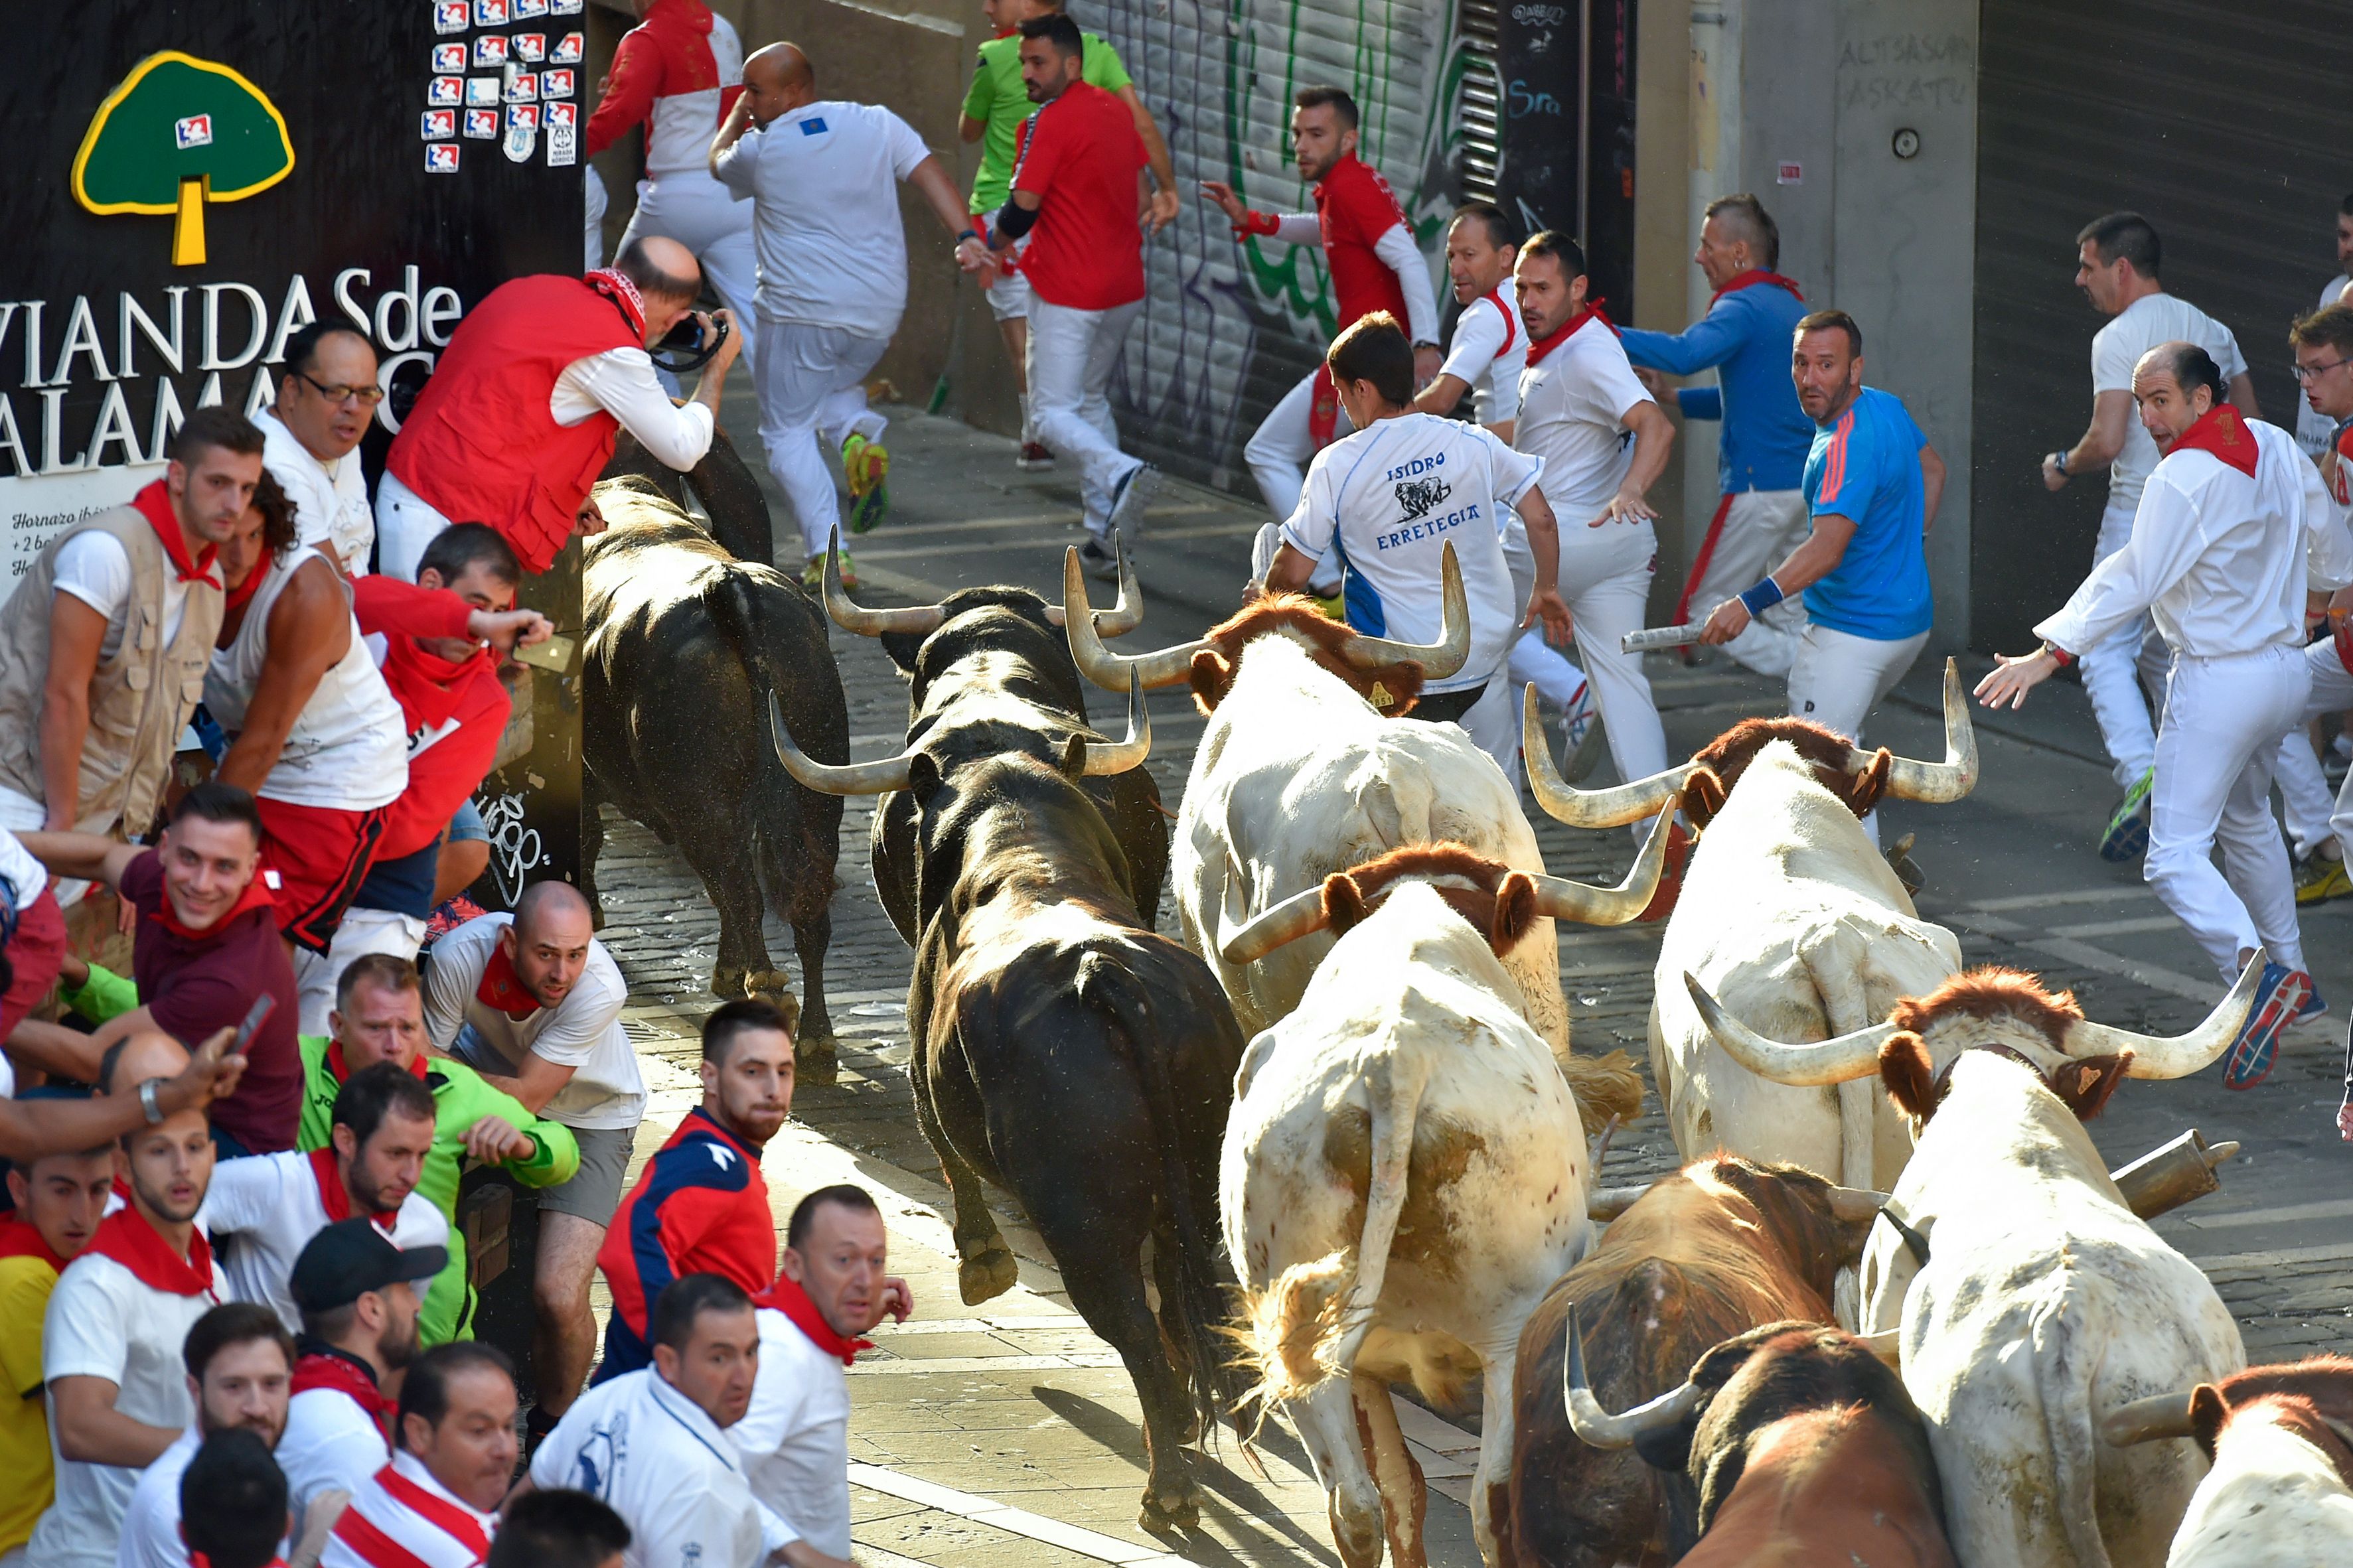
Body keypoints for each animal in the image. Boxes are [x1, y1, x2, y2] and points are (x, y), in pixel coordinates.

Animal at [583, 474, 852, 1067]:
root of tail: (729, 588)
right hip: (815, 796)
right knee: (803, 903)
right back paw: (815, 1037)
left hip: (700, 803)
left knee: (738, 888)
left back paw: (762, 986)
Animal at [1223, 827, 1665, 1561]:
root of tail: (1393, 1063)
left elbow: (1399, 1489)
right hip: (1513, 1332)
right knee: (1494, 1502)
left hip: (1299, 1335)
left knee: (1355, 1505)